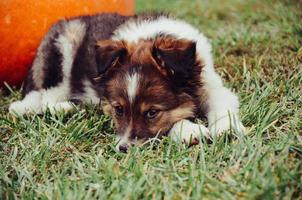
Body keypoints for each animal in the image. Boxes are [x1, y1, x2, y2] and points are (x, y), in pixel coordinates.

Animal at [9, 12, 245, 152]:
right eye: (119, 109)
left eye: (152, 112)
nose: (123, 148)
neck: (152, 36)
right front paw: (190, 130)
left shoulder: (211, 84)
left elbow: (221, 104)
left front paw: (226, 128)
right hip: (63, 46)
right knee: (44, 98)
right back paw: (66, 107)